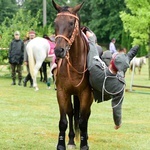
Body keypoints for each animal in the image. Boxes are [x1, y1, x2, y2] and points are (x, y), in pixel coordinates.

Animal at [52, 0, 93, 149]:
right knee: (71, 113)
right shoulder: (62, 92)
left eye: (71, 23)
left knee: (85, 116)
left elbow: (82, 121)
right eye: (55, 22)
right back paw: (70, 140)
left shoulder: (86, 94)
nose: (58, 50)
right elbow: (63, 121)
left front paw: (84, 144)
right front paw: (61, 144)